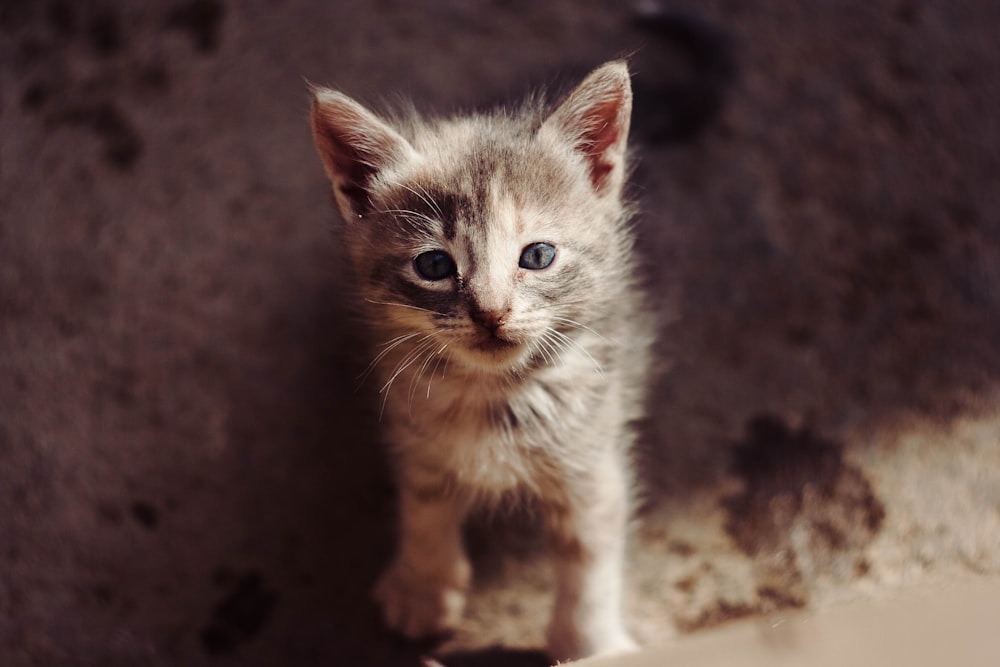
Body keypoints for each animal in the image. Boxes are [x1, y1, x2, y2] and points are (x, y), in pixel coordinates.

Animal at [312, 62, 656, 664]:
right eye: (433, 265)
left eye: (538, 255)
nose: (491, 312)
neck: (493, 394)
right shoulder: (413, 429)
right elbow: (424, 503)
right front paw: (423, 586)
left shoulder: (592, 452)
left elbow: (590, 552)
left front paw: (591, 642)